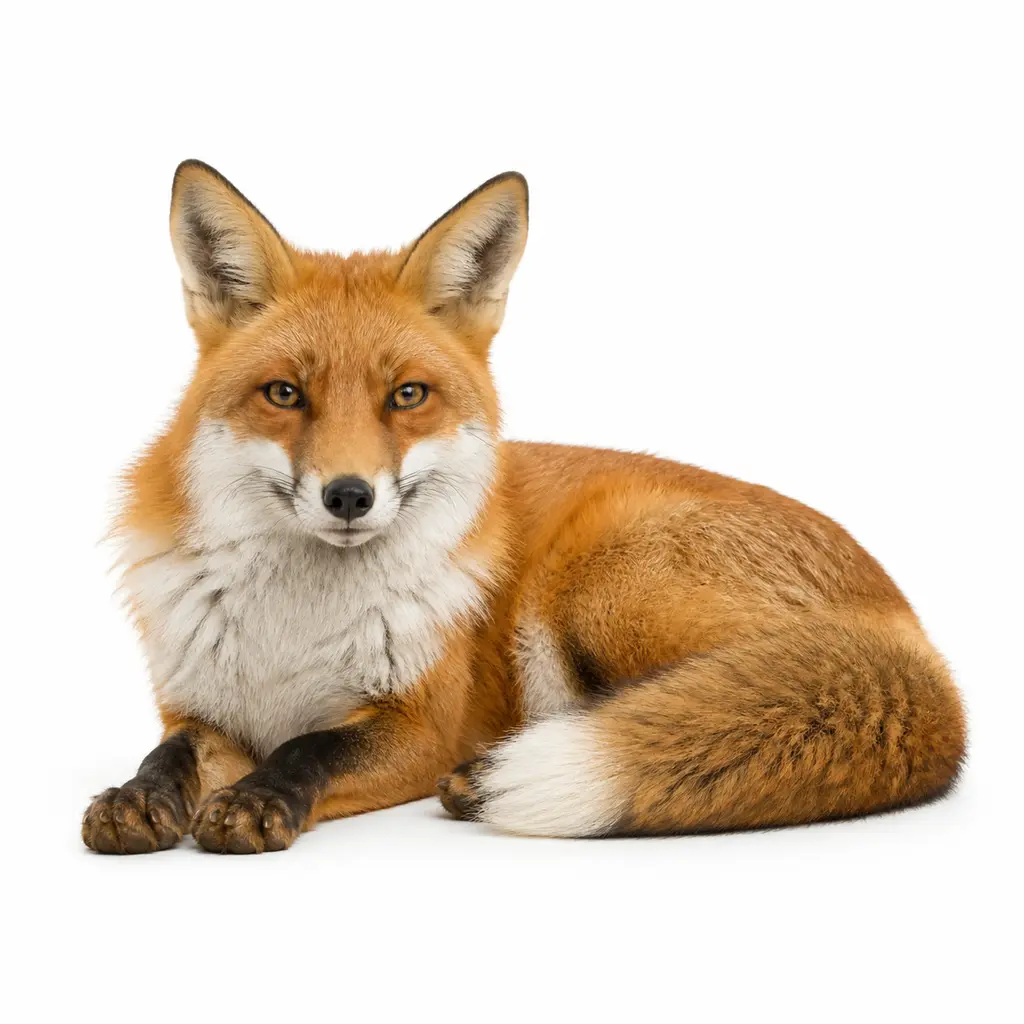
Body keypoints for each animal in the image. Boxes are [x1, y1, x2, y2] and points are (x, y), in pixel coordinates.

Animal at [82, 160, 966, 854]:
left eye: (407, 396)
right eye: (284, 395)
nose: (349, 495)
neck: (292, 632)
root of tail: (917, 640)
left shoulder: (417, 724)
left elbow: (310, 751)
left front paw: (259, 800)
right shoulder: (204, 710)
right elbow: (171, 757)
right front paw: (136, 799)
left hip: (601, 585)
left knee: (703, 702)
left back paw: (492, 775)